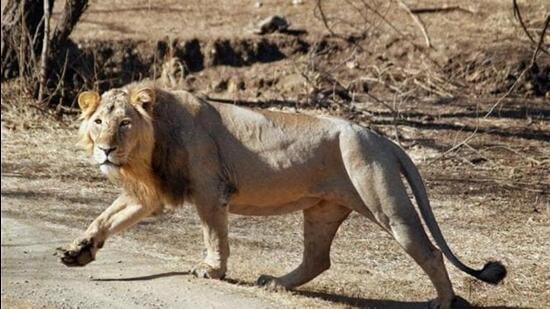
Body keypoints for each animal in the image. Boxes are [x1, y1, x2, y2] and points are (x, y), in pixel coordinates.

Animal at [58, 82, 506, 308]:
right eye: (97, 122)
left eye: (124, 124)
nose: (106, 150)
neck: (148, 147)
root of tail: (381, 137)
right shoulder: (148, 194)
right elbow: (104, 218)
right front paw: (78, 252)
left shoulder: (209, 189)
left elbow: (213, 233)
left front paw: (212, 271)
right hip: (324, 210)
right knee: (318, 259)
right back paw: (275, 283)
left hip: (386, 204)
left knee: (429, 251)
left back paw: (443, 303)